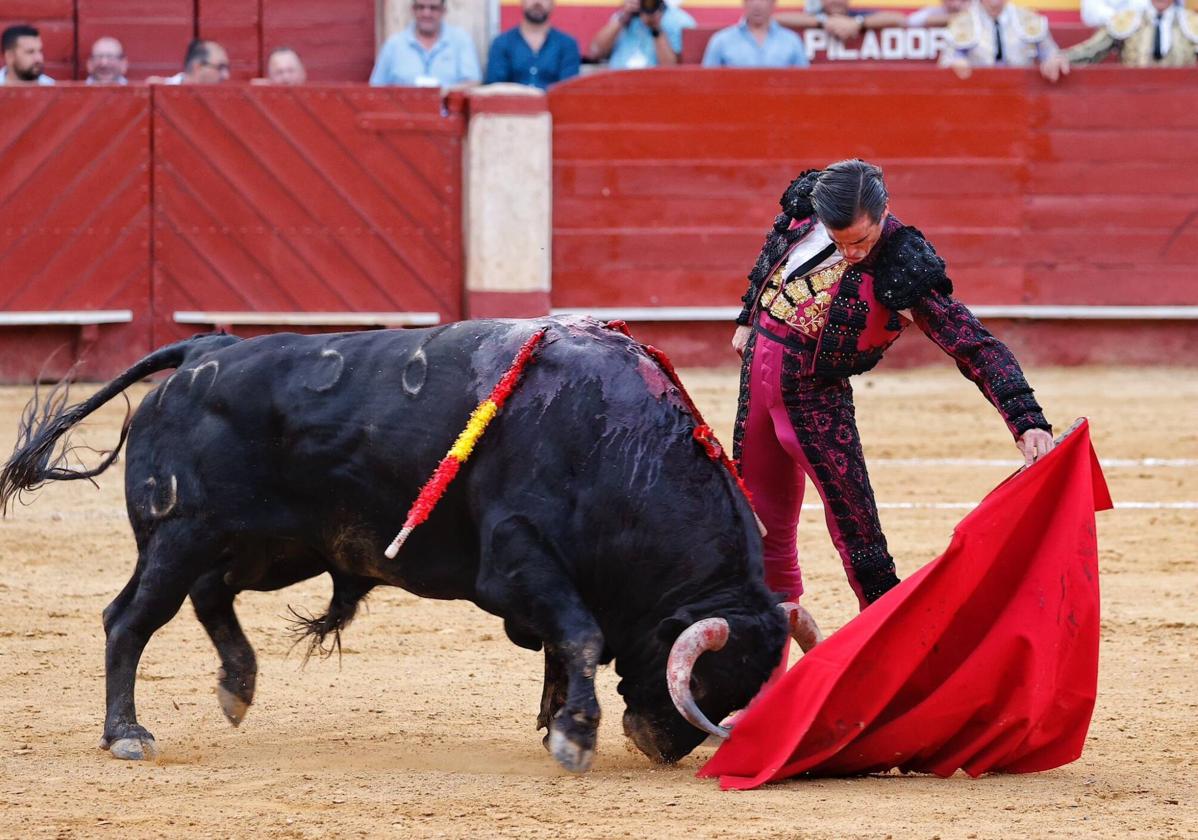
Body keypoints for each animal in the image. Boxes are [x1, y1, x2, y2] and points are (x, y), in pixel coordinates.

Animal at [2, 316, 785, 771]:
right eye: (703, 684)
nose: (663, 747)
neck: (617, 444)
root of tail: (205, 348)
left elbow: (566, 645)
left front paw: (557, 719)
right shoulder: (517, 558)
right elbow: (582, 633)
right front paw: (574, 736)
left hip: (266, 548)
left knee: (210, 596)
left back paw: (238, 685)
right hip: (180, 536)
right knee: (130, 619)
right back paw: (127, 734)